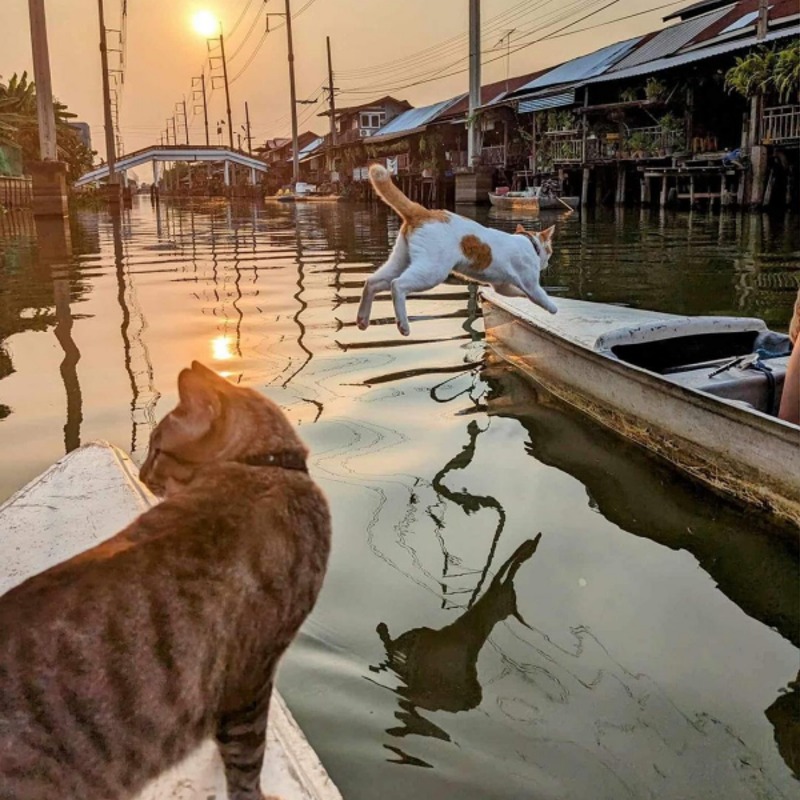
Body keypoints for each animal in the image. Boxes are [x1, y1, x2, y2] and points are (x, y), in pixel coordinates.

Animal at [356, 164, 556, 336]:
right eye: (550, 251)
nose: (547, 263)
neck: (529, 242)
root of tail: (424, 212)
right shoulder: (530, 283)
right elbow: (542, 297)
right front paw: (554, 308)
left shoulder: (501, 286)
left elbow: (517, 293)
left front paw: (524, 298)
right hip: (432, 271)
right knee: (397, 285)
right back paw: (403, 325)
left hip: (400, 261)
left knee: (372, 282)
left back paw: (362, 319)